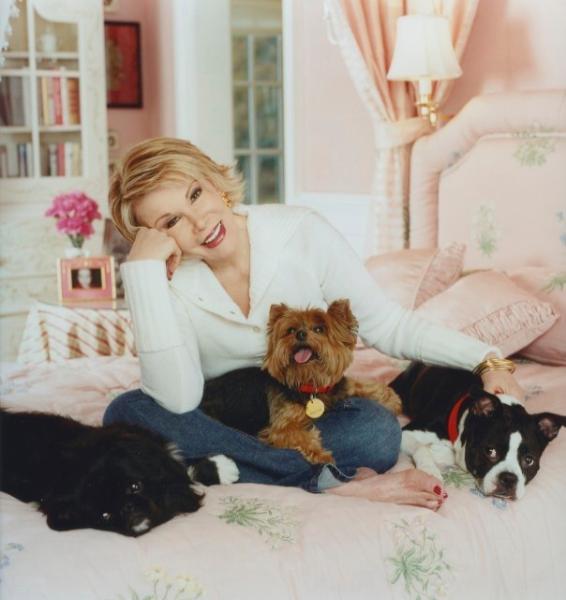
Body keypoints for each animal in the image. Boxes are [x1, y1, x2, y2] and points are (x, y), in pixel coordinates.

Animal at [260, 300, 402, 464]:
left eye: (319, 329)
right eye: (291, 330)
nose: (300, 334)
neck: (311, 385)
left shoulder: (338, 387)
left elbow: (359, 384)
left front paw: (391, 399)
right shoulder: (281, 425)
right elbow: (298, 435)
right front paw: (321, 454)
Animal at [392, 364, 566, 500]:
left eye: (529, 460)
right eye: (490, 451)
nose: (509, 478)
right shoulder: (406, 432)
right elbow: (421, 447)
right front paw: (430, 472)